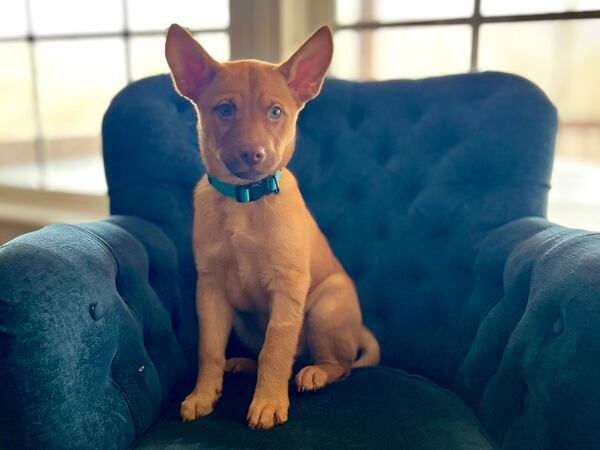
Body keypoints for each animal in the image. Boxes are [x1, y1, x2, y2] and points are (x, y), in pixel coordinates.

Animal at [165, 23, 380, 428]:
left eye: (276, 111)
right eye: (225, 110)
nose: (253, 154)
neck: (246, 200)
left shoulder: (288, 287)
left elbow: (276, 348)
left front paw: (267, 402)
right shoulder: (210, 290)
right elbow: (209, 350)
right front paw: (203, 394)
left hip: (324, 308)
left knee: (339, 364)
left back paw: (316, 373)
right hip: (244, 322)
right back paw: (242, 364)